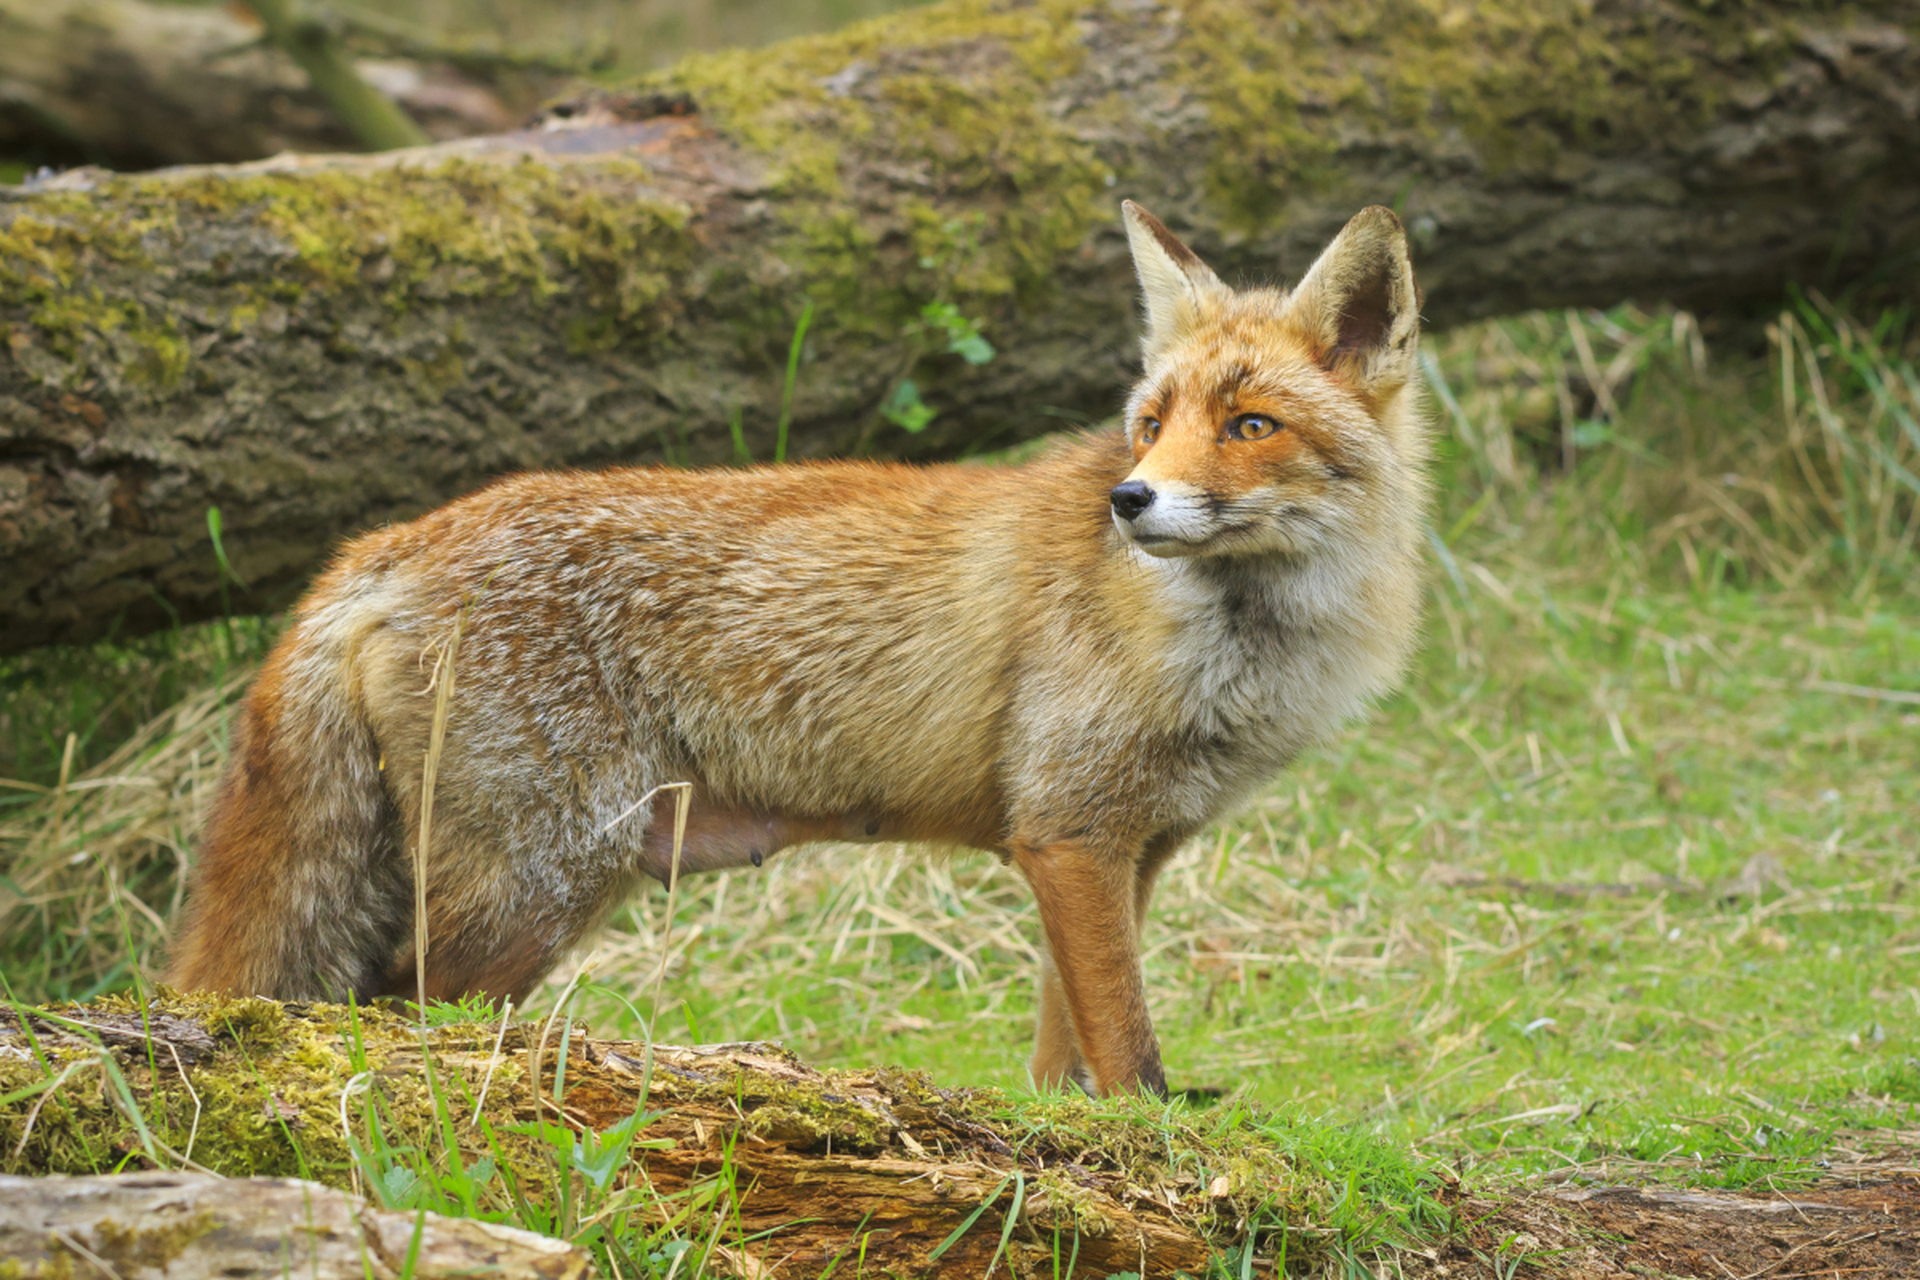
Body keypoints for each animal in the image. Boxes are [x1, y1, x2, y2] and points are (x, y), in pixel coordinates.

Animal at [168, 205, 1428, 1097]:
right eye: (1152, 424)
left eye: (1250, 426)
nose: (1129, 500)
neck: (1232, 646)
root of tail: (380, 544)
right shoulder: (1070, 831)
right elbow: (1130, 1051)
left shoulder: (1121, 847)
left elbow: (1066, 1055)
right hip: (542, 879)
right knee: (389, 1007)